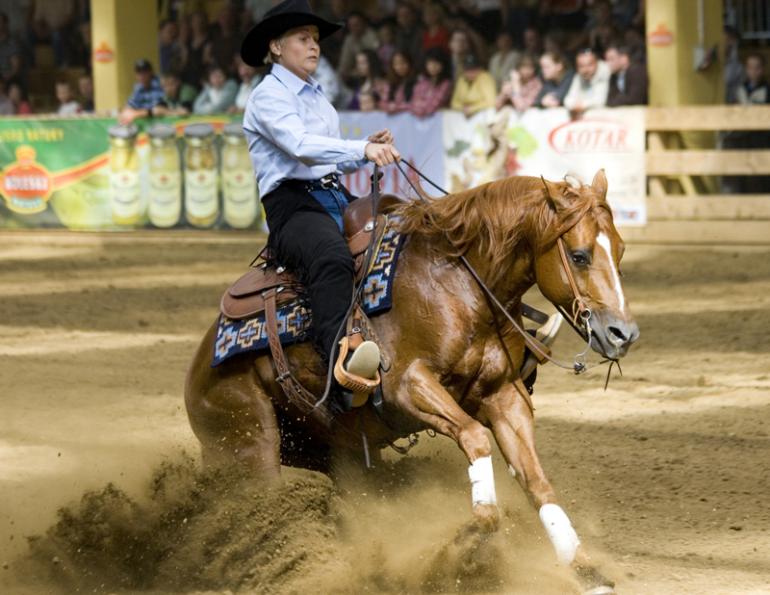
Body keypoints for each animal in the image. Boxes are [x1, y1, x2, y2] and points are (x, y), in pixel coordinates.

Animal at [184, 169, 639, 593]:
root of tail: (197, 368)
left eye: (620, 249)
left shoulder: (502, 395)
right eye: (579, 256)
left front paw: (584, 570)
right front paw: (470, 539)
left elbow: (536, 481)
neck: (457, 283)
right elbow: (475, 438)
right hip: (250, 444)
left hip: (336, 453)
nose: (624, 334)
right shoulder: (407, 386)